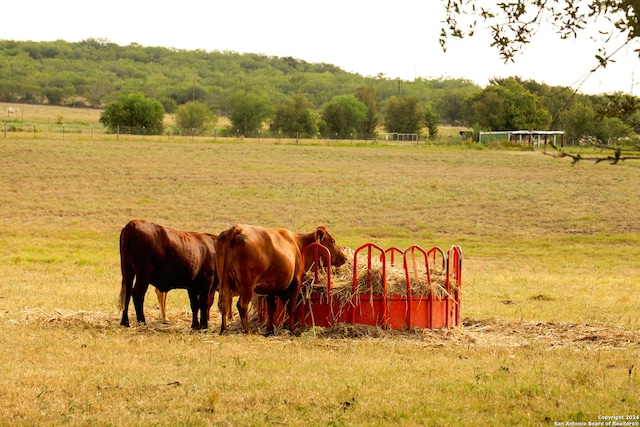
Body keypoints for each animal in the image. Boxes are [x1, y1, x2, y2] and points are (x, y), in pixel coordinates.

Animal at [215, 222, 348, 336]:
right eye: (332, 241)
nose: (345, 257)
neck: (297, 244)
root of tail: (237, 228)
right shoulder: (296, 281)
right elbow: (291, 307)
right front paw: (292, 330)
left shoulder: (270, 286)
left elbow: (272, 308)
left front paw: (270, 329)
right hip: (247, 284)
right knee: (242, 305)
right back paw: (248, 331)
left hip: (224, 281)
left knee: (222, 304)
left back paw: (223, 330)